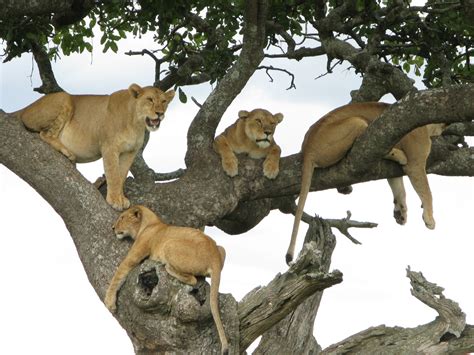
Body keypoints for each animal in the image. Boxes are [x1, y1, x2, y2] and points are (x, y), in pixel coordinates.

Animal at [14, 83, 176, 211]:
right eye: (150, 100)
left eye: (164, 101)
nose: (160, 113)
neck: (136, 123)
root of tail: (24, 108)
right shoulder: (109, 147)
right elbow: (113, 174)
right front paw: (114, 200)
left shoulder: (130, 152)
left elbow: (121, 175)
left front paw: (121, 198)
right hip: (64, 98)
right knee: (45, 134)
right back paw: (68, 152)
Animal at [105, 206, 228, 355]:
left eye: (122, 217)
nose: (112, 228)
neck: (150, 223)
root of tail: (214, 258)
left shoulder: (135, 254)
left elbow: (118, 275)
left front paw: (109, 301)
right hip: (222, 249)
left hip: (170, 244)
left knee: (192, 279)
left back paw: (167, 266)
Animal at [286, 101, 446, 262]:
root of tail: (307, 148)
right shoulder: (415, 163)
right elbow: (427, 192)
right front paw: (429, 219)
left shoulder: (393, 171)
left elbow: (399, 189)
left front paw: (400, 213)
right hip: (357, 122)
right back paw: (398, 156)